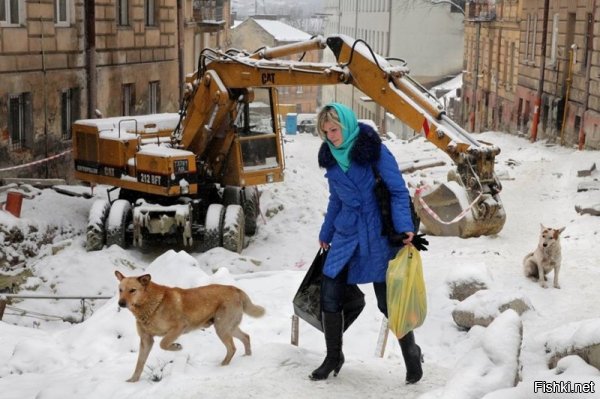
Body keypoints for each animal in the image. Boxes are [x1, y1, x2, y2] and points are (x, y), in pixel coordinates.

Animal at [115, 270, 264, 382]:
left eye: (132, 290)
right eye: (120, 290)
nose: (120, 303)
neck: (150, 306)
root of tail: (235, 289)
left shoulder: (178, 327)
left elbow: (163, 343)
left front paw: (177, 347)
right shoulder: (146, 340)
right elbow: (139, 363)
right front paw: (133, 381)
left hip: (222, 327)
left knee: (232, 348)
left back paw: (223, 366)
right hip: (228, 327)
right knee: (246, 337)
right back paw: (247, 357)